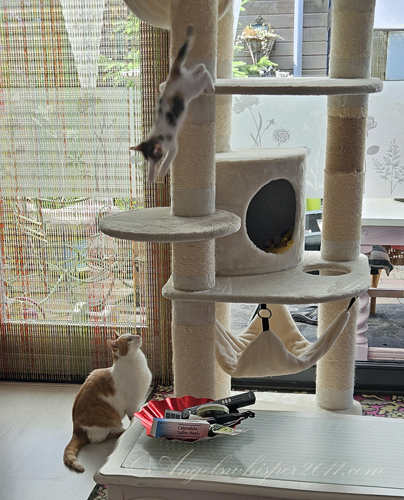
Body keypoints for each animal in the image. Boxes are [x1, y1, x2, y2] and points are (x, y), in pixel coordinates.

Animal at [63, 333, 152, 472]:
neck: (137, 362)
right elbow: (134, 416)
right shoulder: (131, 404)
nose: (138, 335)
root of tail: (76, 429)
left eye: (131, 334)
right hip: (111, 422)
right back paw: (122, 431)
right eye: (129, 340)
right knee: (100, 438)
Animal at [131, 25, 215, 182]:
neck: (157, 136)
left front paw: (162, 171)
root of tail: (173, 76)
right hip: (189, 81)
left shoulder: (173, 145)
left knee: (204, 74)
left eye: (158, 158)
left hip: (193, 89)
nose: (155, 164)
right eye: (149, 160)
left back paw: (211, 88)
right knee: (199, 68)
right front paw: (151, 176)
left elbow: (170, 157)